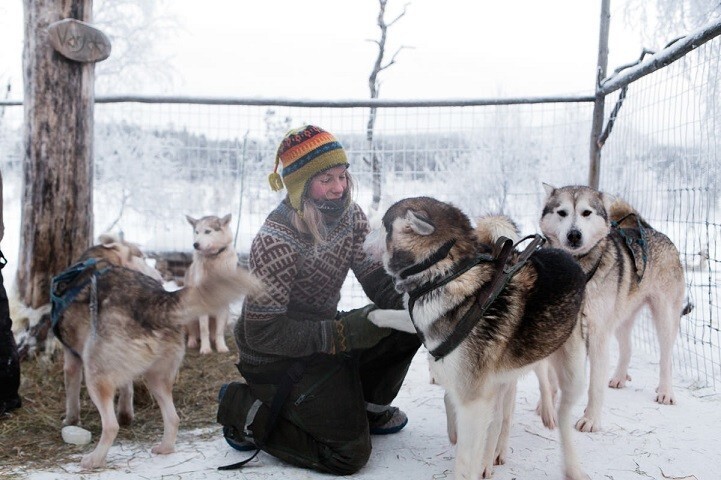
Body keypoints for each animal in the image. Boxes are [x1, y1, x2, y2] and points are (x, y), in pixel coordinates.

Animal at [56, 232, 163, 428]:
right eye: (143, 258)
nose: (160, 277)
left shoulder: (71, 356)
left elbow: (71, 392)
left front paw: (70, 421)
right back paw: (127, 415)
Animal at [183, 213, 236, 352]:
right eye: (196, 232)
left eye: (207, 231)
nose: (195, 244)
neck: (213, 258)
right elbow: (203, 330)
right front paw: (205, 349)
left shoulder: (223, 302)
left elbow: (219, 331)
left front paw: (221, 347)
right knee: (193, 332)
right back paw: (192, 342)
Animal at [362, 195, 588, 480]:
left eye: (382, 225)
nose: (362, 238)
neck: (444, 274)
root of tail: (565, 255)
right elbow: (397, 317)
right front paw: (370, 317)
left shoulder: (473, 402)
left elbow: (465, 461)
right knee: (503, 416)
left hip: (571, 372)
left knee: (560, 411)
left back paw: (568, 459)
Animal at [540, 183, 688, 432]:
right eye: (562, 212)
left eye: (586, 212)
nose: (574, 234)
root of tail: (654, 231)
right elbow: (553, 377)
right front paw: (548, 408)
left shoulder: (598, 335)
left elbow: (594, 385)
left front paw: (590, 419)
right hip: (621, 319)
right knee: (627, 348)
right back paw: (619, 377)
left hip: (664, 318)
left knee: (666, 358)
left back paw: (666, 391)